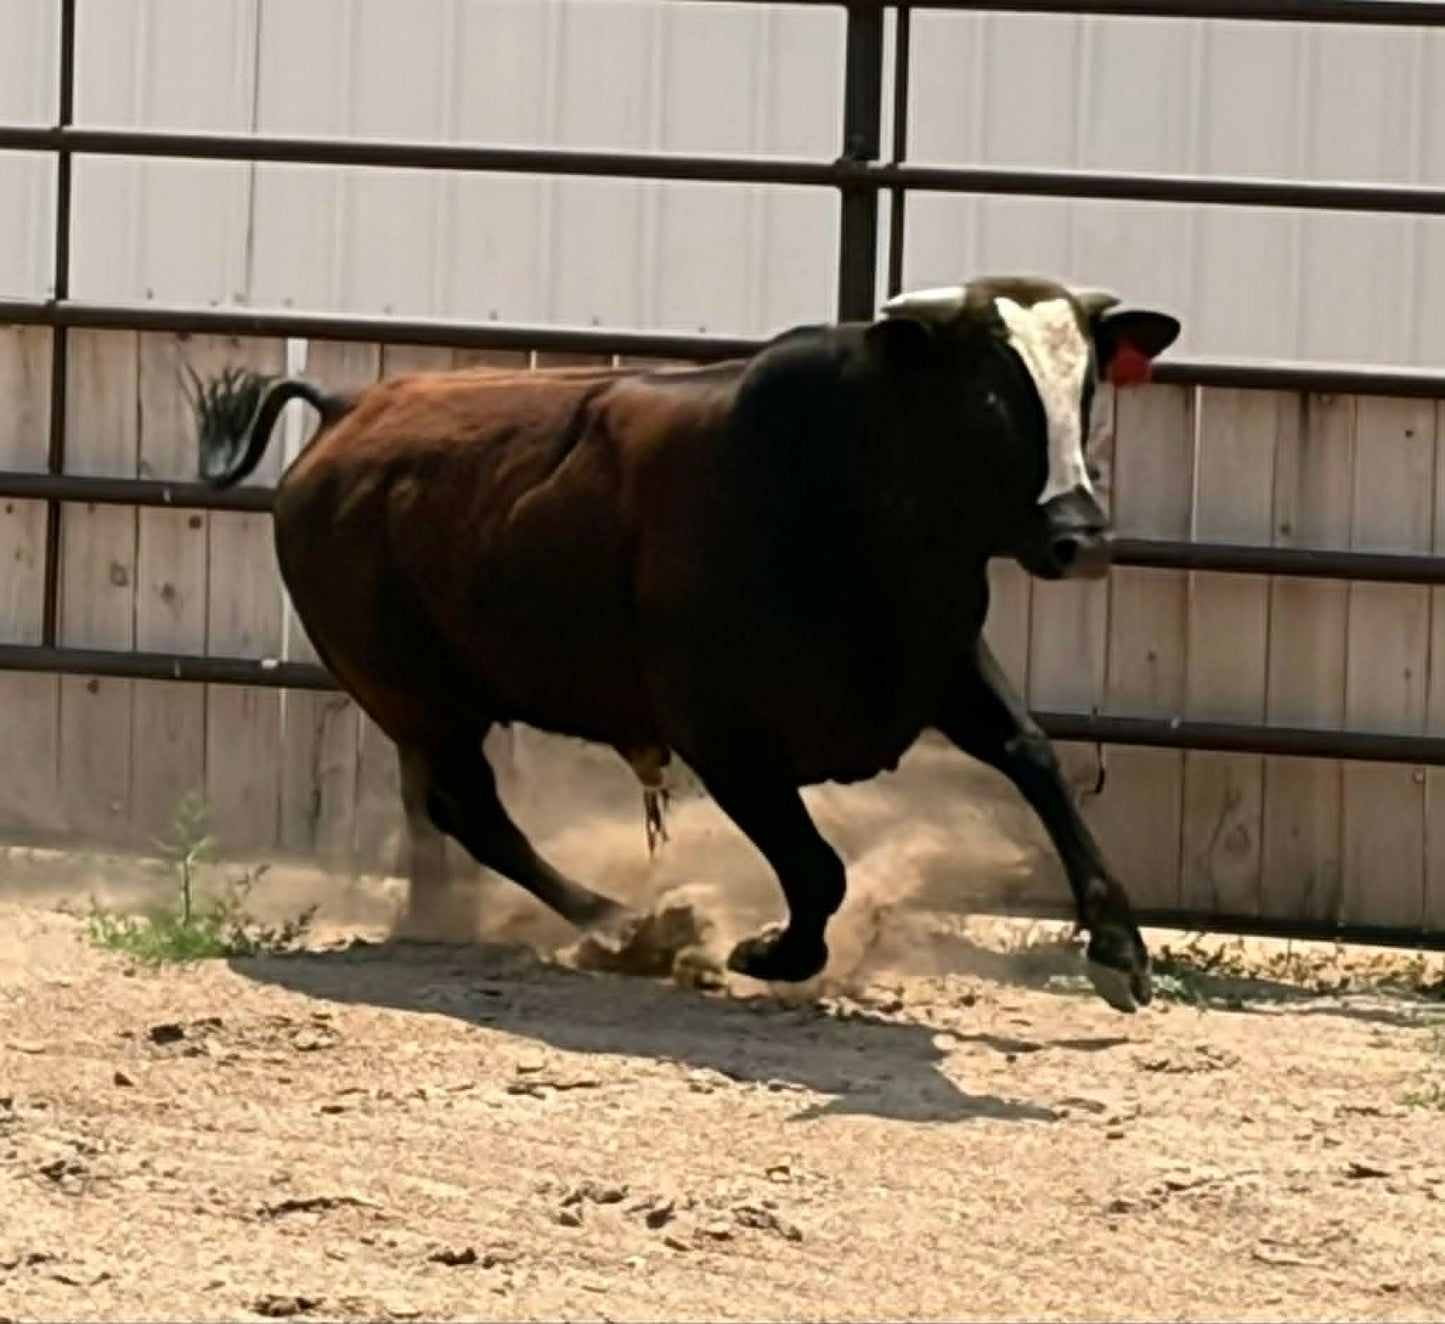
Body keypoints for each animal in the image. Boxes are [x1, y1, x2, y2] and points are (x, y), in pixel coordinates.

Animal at [193, 275, 1180, 1013]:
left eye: (1083, 391)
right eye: (987, 397)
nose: (1080, 538)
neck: (846, 480)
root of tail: (342, 411)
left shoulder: (941, 664)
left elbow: (1031, 754)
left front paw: (1118, 948)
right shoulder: (723, 735)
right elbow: (816, 867)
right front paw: (771, 952)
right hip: (418, 697)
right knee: (469, 810)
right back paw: (621, 922)